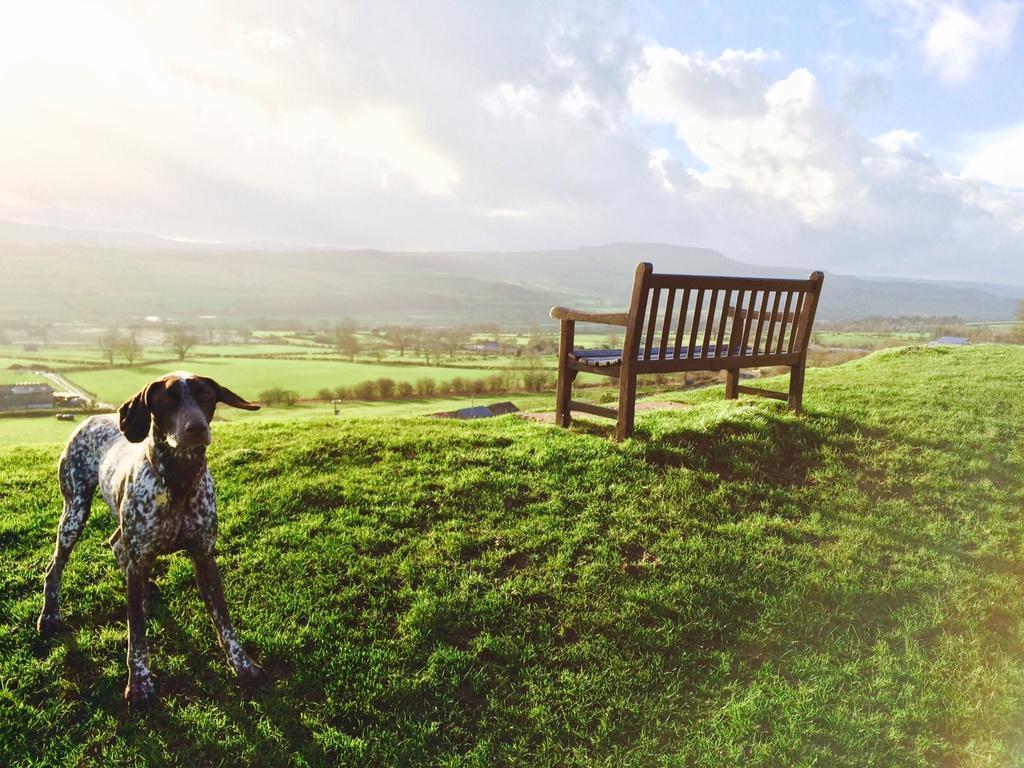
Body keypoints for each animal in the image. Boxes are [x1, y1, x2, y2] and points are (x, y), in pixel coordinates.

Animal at [37, 372, 266, 708]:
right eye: (167, 399)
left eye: (206, 395)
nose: (196, 428)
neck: (179, 479)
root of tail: (90, 417)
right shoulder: (140, 559)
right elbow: (137, 633)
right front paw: (139, 682)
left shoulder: (204, 558)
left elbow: (224, 622)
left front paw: (243, 665)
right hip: (74, 513)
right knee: (54, 568)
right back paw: (50, 616)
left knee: (116, 544)